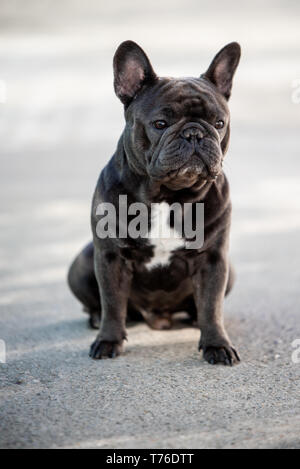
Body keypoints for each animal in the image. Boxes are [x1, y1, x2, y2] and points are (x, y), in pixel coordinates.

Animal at [68, 40, 241, 364]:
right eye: (160, 123)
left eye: (219, 123)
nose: (195, 133)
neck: (168, 196)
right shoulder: (110, 258)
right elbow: (112, 303)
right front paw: (108, 340)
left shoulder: (214, 260)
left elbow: (212, 307)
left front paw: (217, 345)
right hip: (83, 261)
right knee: (101, 305)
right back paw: (96, 319)